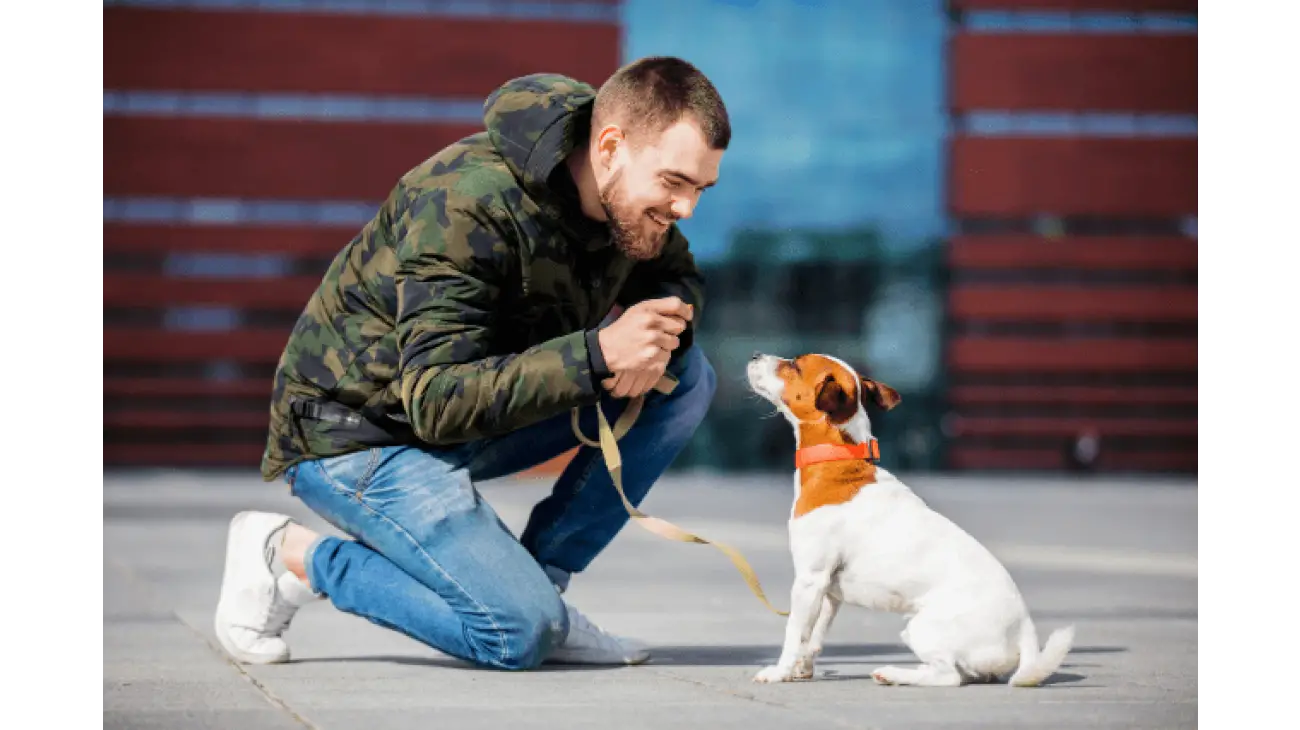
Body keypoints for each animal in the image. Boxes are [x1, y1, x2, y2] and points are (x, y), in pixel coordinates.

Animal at [748, 350, 1071, 685]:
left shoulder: (809, 580)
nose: (756, 354)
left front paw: (779, 671)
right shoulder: (827, 593)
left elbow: (794, 634)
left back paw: (893, 673)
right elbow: (813, 638)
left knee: (949, 676)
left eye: (795, 365)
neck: (837, 460)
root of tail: (1025, 631)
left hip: (921, 628)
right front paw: (801, 669)